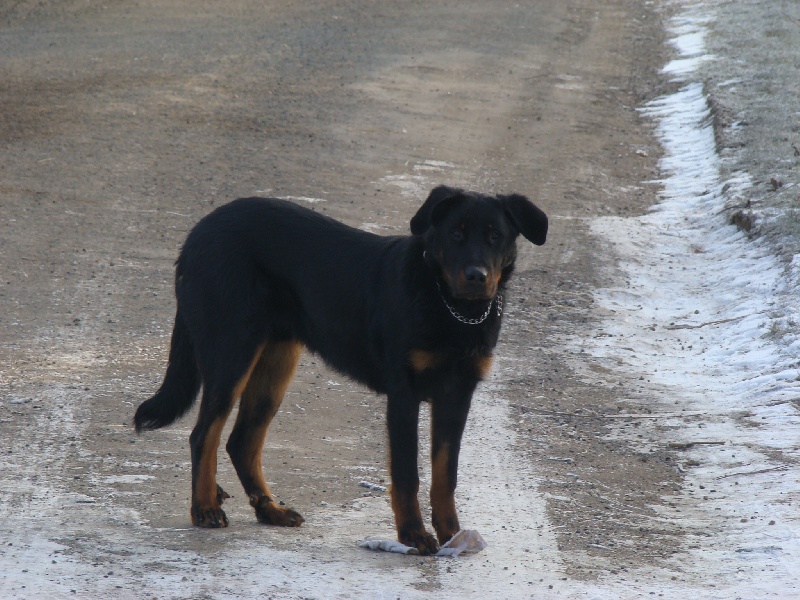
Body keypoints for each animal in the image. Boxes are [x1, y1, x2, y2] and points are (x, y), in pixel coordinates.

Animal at [136, 185, 552, 556]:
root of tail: (197, 233)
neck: (449, 305)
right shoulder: (404, 395)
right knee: (203, 434)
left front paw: (452, 533)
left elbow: (445, 475)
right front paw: (413, 534)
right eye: (456, 233)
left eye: (496, 236)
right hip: (231, 352)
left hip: (276, 363)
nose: (476, 276)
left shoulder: (457, 395)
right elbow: (407, 474)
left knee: (242, 440)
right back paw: (205, 507)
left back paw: (271, 510)